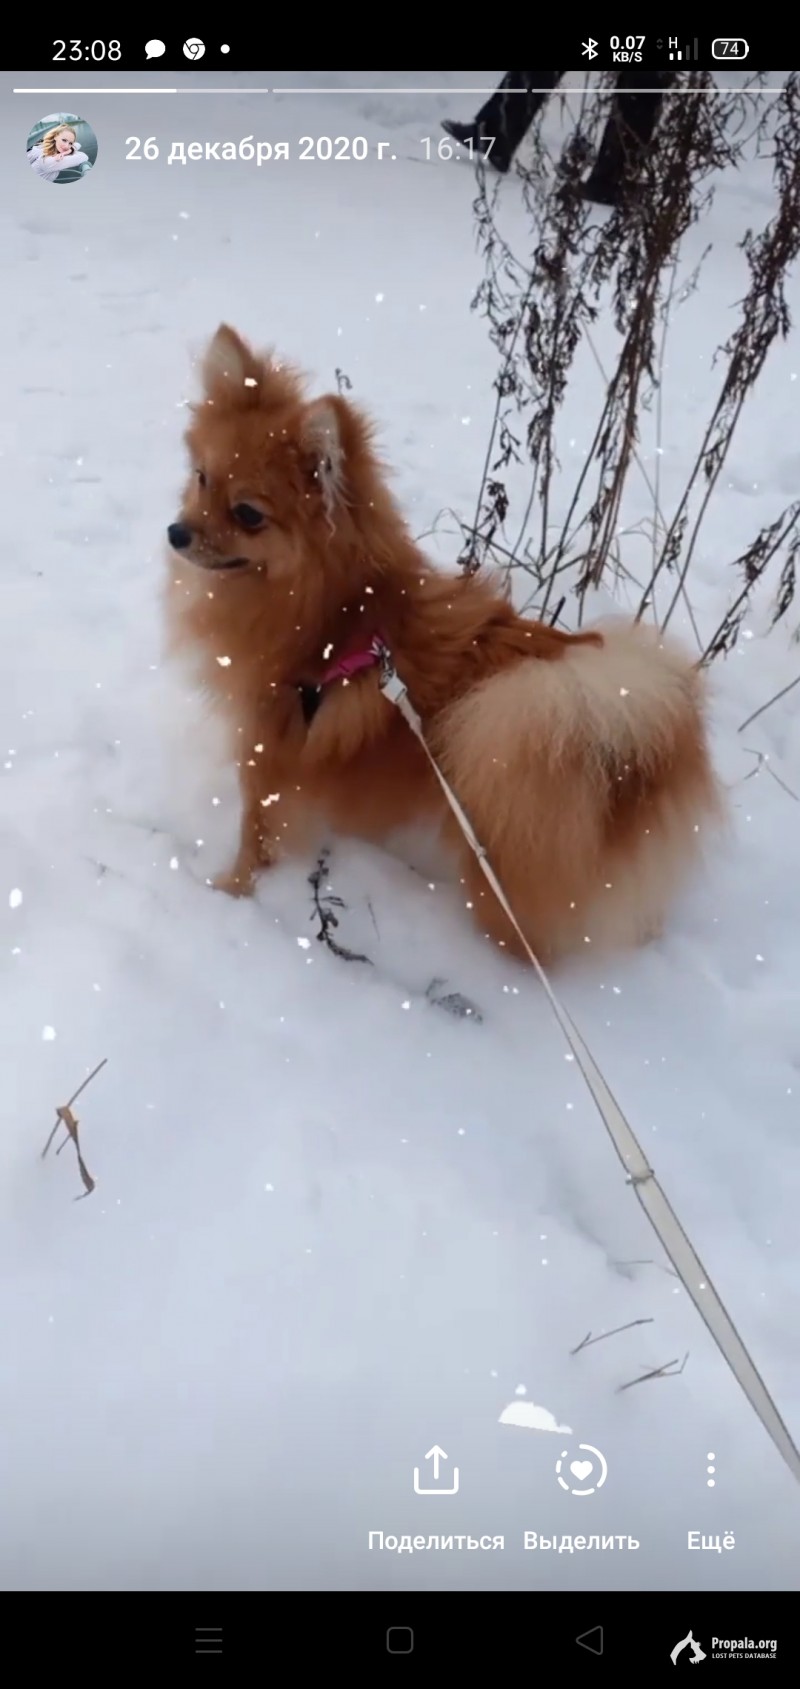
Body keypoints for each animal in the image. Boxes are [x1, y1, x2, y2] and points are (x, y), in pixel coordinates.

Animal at [165, 322, 722, 966]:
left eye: (248, 514)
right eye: (202, 478)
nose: (175, 533)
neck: (333, 615)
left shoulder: (267, 755)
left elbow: (253, 837)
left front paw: (228, 891)